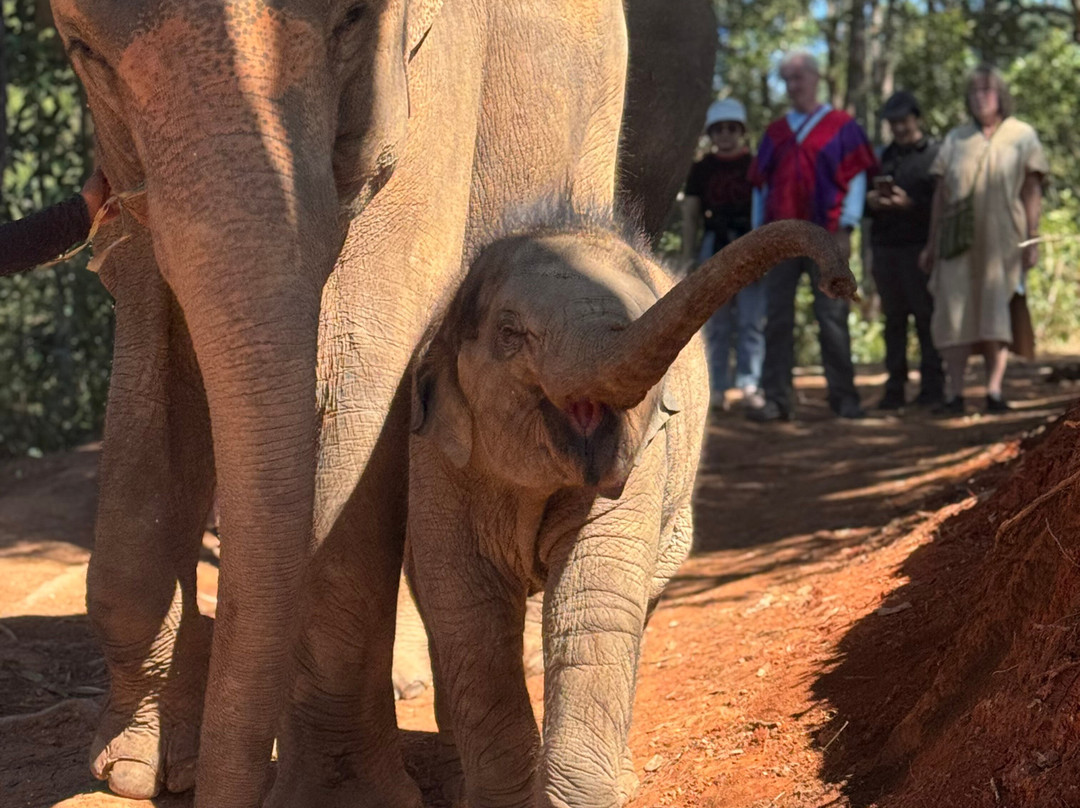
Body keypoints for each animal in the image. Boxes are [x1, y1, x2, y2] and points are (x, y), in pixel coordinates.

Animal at [52, 0, 632, 805]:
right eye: (85, 52)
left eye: (353, 20)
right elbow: (153, 343)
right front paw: (141, 771)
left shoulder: (434, 74)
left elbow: (361, 355)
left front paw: (340, 797)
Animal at [404, 212, 857, 807]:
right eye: (510, 334)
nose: (841, 281)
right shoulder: (435, 458)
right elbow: (467, 607)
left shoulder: (644, 454)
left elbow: (595, 592)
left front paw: (580, 798)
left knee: (640, 600)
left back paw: (621, 777)